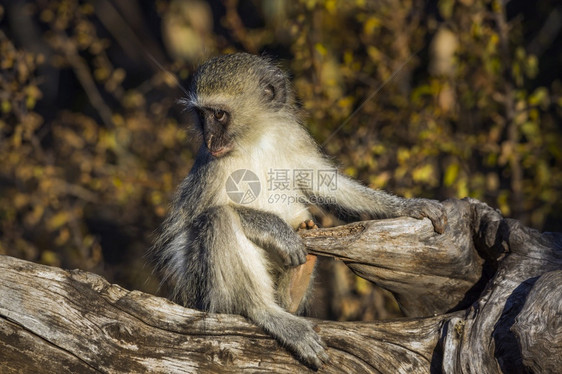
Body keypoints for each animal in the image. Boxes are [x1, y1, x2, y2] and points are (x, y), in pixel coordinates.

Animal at [150, 51, 446, 368]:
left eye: (218, 115)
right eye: (202, 115)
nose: (209, 139)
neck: (256, 139)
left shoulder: (292, 137)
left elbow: (327, 184)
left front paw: (408, 206)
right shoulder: (212, 167)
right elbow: (186, 228)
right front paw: (277, 230)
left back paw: (294, 287)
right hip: (202, 292)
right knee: (219, 219)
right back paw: (269, 312)